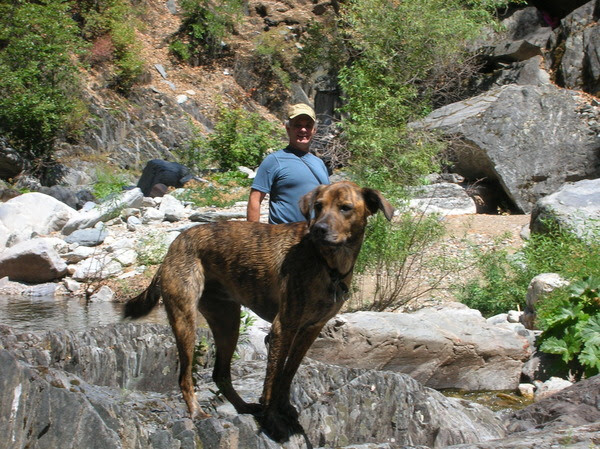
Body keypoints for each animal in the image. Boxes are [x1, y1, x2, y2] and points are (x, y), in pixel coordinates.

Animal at [123, 180, 394, 440]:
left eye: (345, 208)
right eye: (318, 206)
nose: (318, 229)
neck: (328, 263)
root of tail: (174, 245)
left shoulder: (310, 331)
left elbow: (287, 374)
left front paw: (285, 409)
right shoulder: (282, 328)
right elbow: (272, 380)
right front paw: (272, 421)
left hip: (227, 322)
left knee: (220, 373)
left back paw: (242, 407)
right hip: (185, 320)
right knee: (184, 376)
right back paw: (196, 412)